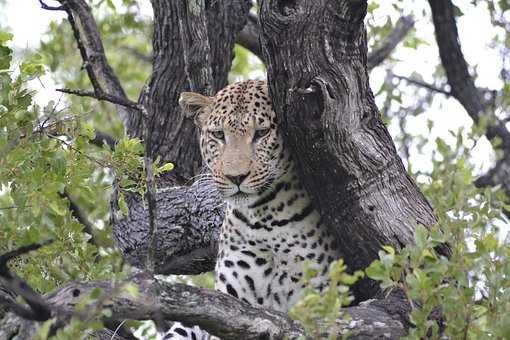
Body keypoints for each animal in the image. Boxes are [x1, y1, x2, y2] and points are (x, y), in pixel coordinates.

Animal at [163, 79, 340, 338]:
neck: (265, 218)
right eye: (219, 135)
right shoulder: (231, 300)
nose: (236, 177)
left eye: (262, 133)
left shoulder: (317, 296)